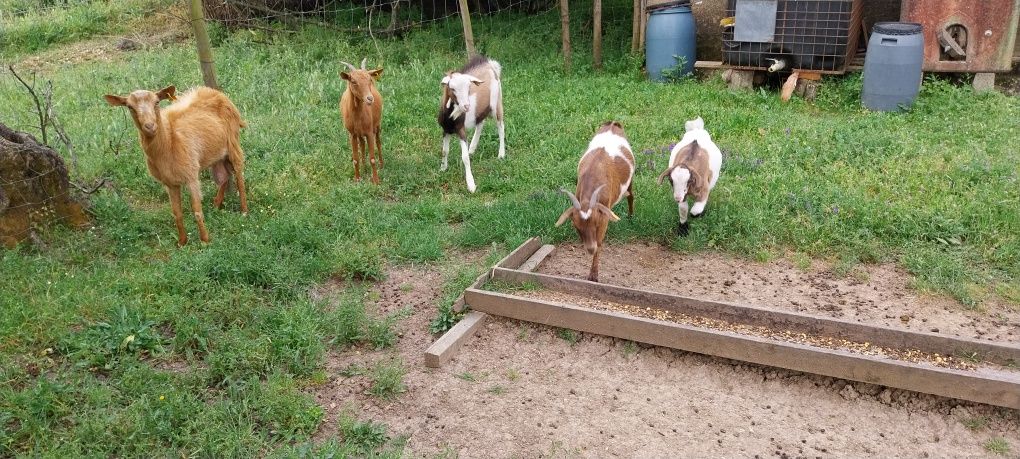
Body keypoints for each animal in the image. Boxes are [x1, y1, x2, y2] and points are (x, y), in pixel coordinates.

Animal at [436, 54, 503, 192]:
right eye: (452, 88)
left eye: (469, 87)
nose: (466, 106)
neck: (451, 117)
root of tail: (490, 64)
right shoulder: (445, 130)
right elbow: (444, 151)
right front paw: (443, 169)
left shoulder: (461, 130)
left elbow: (465, 158)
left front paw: (471, 185)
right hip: (481, 110)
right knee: (480, 124)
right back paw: (472, 148)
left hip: (496, 103)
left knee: (501, 126)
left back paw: (501, 154)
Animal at [554, 120, 632, 281]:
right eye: (577, 227)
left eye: (596, 224)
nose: (590, 249)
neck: (593, 176)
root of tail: (612, 123)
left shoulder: (604, 216)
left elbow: (600, 243)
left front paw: (594, 275)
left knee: (631, 195)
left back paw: (631, 217)